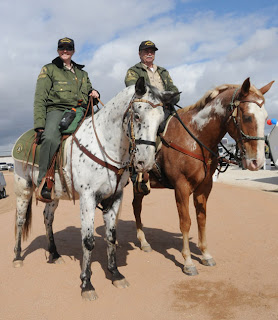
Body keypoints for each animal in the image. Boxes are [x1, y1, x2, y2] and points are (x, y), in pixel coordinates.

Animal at [11, 77, 178, 300]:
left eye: (160, 121)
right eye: (137, 115)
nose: (146, 162)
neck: (105, 147)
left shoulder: (115, 197)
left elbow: (111, 237)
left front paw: (115, 274)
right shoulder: (88, 198)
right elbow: (88, 241)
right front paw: (87, 284)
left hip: (53, 195)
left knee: (48, 218)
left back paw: (54, 253)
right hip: (23, 189)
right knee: (20, 221)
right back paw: (18, 257)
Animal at [132, 77, 274, 276]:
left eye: (266, 117)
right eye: (247, 116)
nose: (258, 162)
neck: (195, 137)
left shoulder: (204, 187)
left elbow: (202, 219)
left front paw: (205, 254)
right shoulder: (181, 187)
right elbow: (185, 222)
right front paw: (188, 261)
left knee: (135, 206)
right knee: (135, 208)